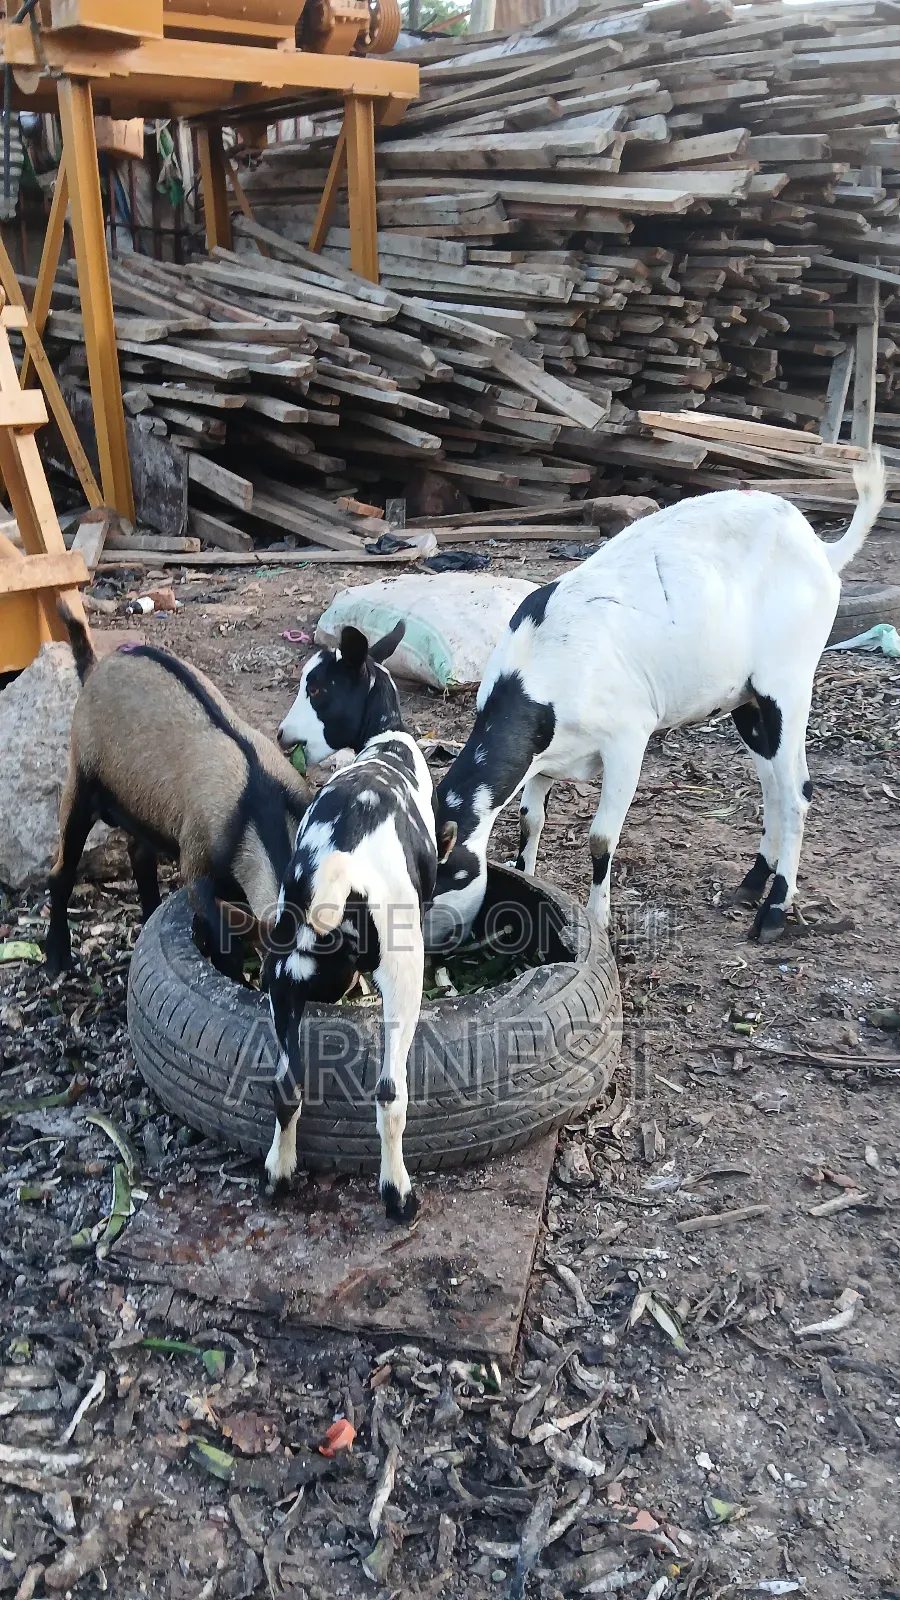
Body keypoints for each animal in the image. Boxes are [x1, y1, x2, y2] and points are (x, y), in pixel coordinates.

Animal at [47, 603, 310, 979]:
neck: (261, 802)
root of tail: (95, 668)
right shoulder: (198, 868)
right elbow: (224, 945)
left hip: (143, 805)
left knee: (140, 856)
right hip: (81, 782)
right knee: (62, 873)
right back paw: (57, 958)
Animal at [267, 622, 445, 1222]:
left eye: (319, 689)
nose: (283, 736)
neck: (385, 744)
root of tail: (338, 867)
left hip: (284, 974)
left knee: (285, 1085)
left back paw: (278, 1173)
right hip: (403, 970)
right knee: (390, 1093)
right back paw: (398, 1195)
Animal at [424, 452, 885, 950]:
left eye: (439, 882)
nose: (429, 948)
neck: (540, 665)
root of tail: (820, 549)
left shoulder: (627, 739)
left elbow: (601, 838)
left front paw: (600, 918)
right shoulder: (543, 758)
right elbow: (531, 820)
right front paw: (528, 876)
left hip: (788, 681)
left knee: (798, 790)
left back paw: (774, 912)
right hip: (746, 701)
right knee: (772, 787)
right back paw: (751, 883)